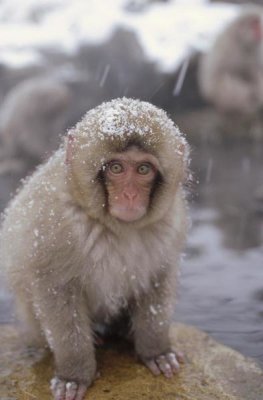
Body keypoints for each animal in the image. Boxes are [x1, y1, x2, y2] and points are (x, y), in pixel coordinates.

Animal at [0, 97, 190, 400]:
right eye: (116, 168)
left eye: (143, 169)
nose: (129, 195)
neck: (115, 226)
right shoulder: (54, 223)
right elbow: (56, 291)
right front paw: (74, 375)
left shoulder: (170, 222)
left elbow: (157, 280)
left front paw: (157, 351)